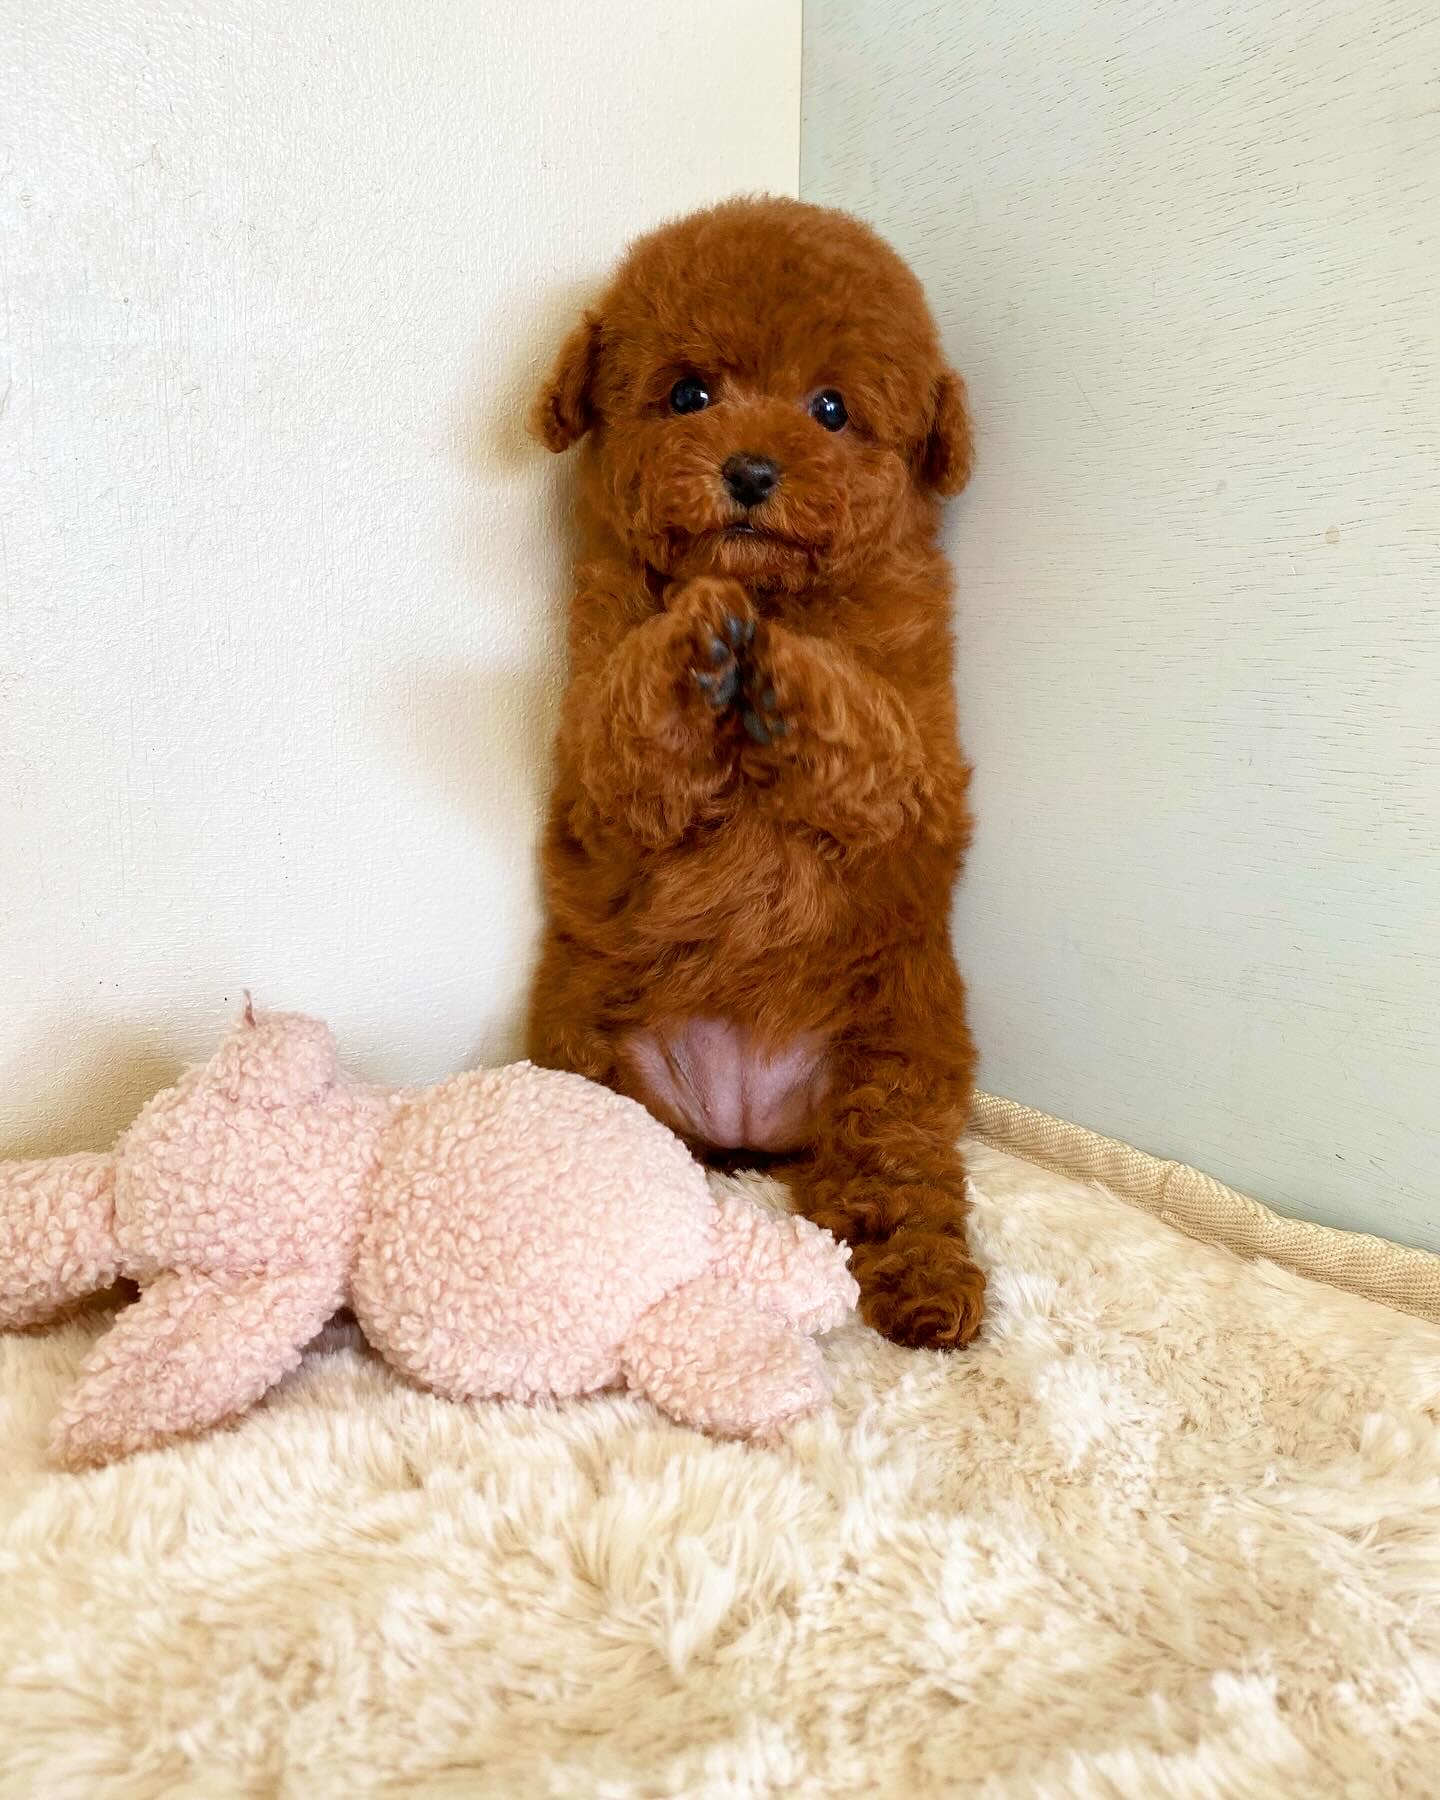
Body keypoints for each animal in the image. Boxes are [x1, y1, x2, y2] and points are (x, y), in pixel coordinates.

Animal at [525, 195, 983, 1350]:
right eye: (689, 393)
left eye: (831, 409)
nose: (749, 472)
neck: (771, 590)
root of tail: (746, 1129)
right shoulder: (598, 742)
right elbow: (631, 724)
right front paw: (696, 638)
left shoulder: (917, 753)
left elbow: (861, 724)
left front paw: (778, 667)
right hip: (588, 1048)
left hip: (894, 1063)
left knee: (895, 1182)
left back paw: (930, 1295)